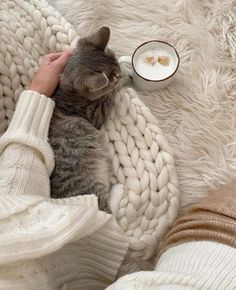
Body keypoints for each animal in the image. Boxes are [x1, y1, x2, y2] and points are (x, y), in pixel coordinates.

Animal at [48, 27, 121, 212]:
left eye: (114, 59)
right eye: (114, 77)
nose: (121, 75)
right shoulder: (95, 113)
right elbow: (109, 95)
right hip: (91, 186)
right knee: (105, 209)